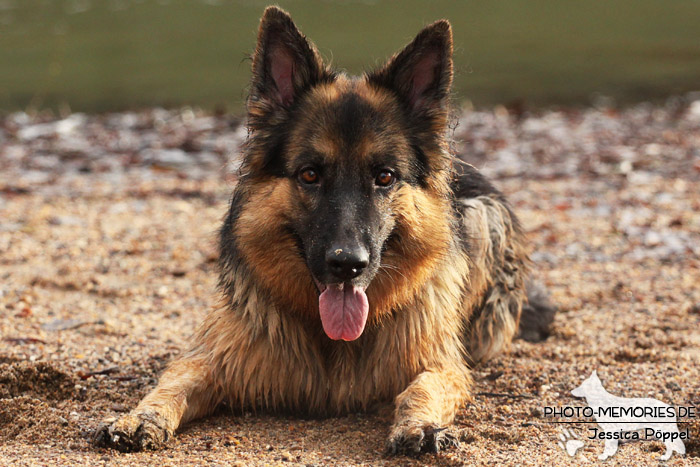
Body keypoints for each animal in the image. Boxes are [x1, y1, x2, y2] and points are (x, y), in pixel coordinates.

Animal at [93, 5, 556, 456]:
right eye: (310, 175)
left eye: (384, 177)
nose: (347, 265)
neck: (334, 342)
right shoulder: (216, 356)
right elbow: (174, 382)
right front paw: (139, 417)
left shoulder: (441, 363)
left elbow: (424, 386)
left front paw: (420, 426)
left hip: (484, 217)